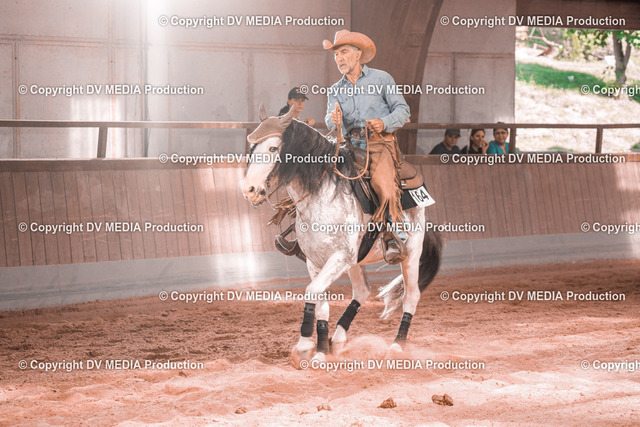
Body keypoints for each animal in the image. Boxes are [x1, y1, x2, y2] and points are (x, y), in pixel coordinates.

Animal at [241, 105, 442, 367]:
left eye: (273, 148)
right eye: (252, 149)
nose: (249, 190)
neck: (323, 195)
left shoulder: (339, 257)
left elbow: (312, 291)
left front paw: (306, 346)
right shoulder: (315, 261)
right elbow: (321, 301)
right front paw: (319, 349)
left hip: (411, 253)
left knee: (411, 295)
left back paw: (397, 345)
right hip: (357, 260)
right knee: (363, 291)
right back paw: (337, 339)